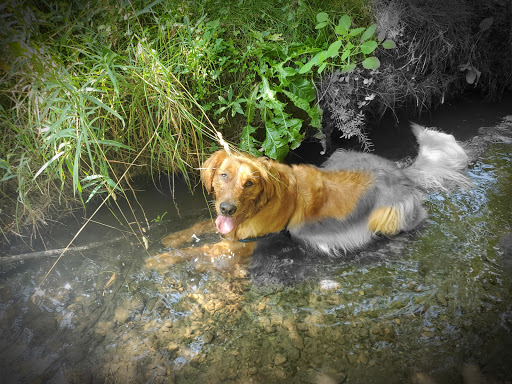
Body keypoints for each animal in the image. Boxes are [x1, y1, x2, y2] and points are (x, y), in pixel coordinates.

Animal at [146, 124, 470, 270]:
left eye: (249, 183)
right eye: (223, 175)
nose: (227, 208)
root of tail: (401, 172)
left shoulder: (246, 243)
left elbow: (202, 249)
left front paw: (158, 260)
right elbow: (200, 226)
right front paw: (172, 239)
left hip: (387, 215)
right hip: (339, 156)